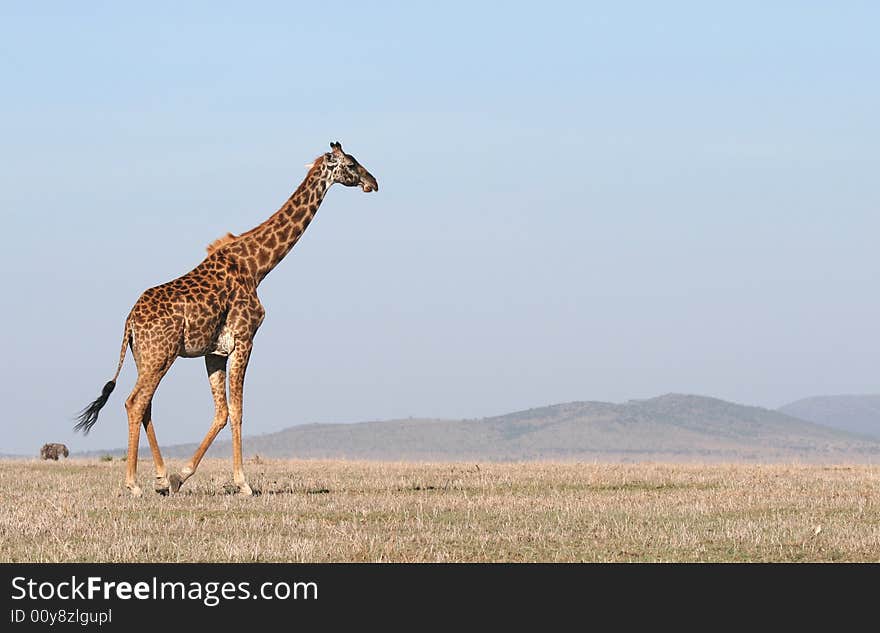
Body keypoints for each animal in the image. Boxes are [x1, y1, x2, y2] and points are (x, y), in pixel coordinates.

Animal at [75, 141, 378, 496]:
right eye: (351, 164)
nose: (373, 182)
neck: (257, 266)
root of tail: (129, 324)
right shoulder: (245, 339)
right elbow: (238, 411)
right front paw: (243, 482)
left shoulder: (214, 351)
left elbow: (221, 412)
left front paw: (179, 476)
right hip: (160, 355)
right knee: (134, 402)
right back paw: (133, 484)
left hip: (146, 358)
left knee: (146, 404)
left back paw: (161, 477)